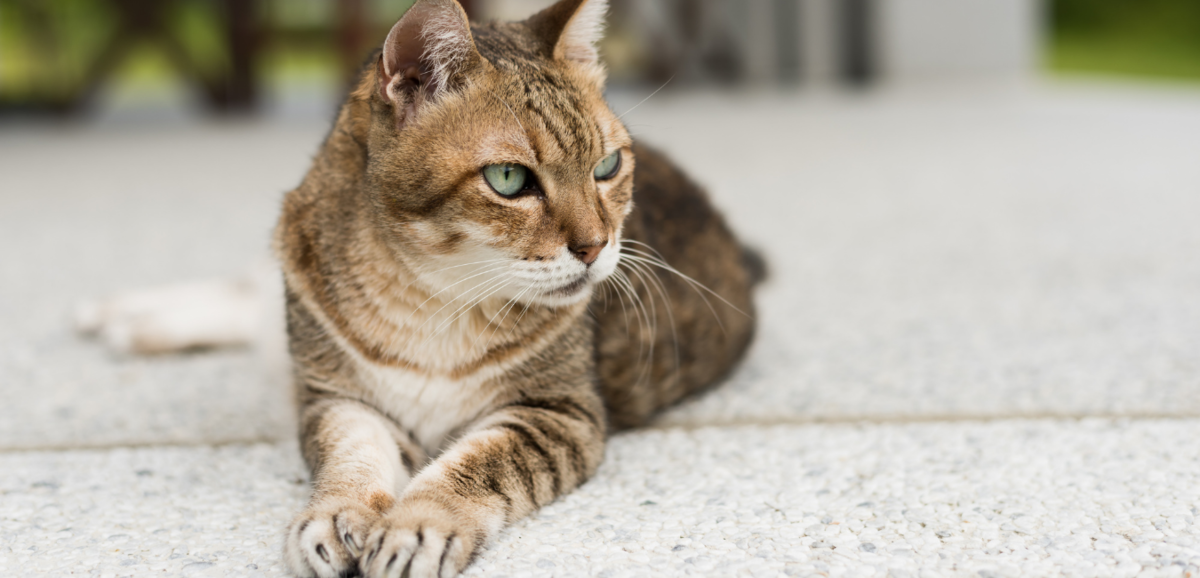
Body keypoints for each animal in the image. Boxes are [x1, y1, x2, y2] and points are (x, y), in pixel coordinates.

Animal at [274, 2, 758, 575]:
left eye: (608, 166)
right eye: (508, 178)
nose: (596, 246)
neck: (432, 300)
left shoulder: (558, 413)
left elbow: (477, 466)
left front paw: (417, 524)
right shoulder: (336, 398)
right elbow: (351, 454)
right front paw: (336, 513)